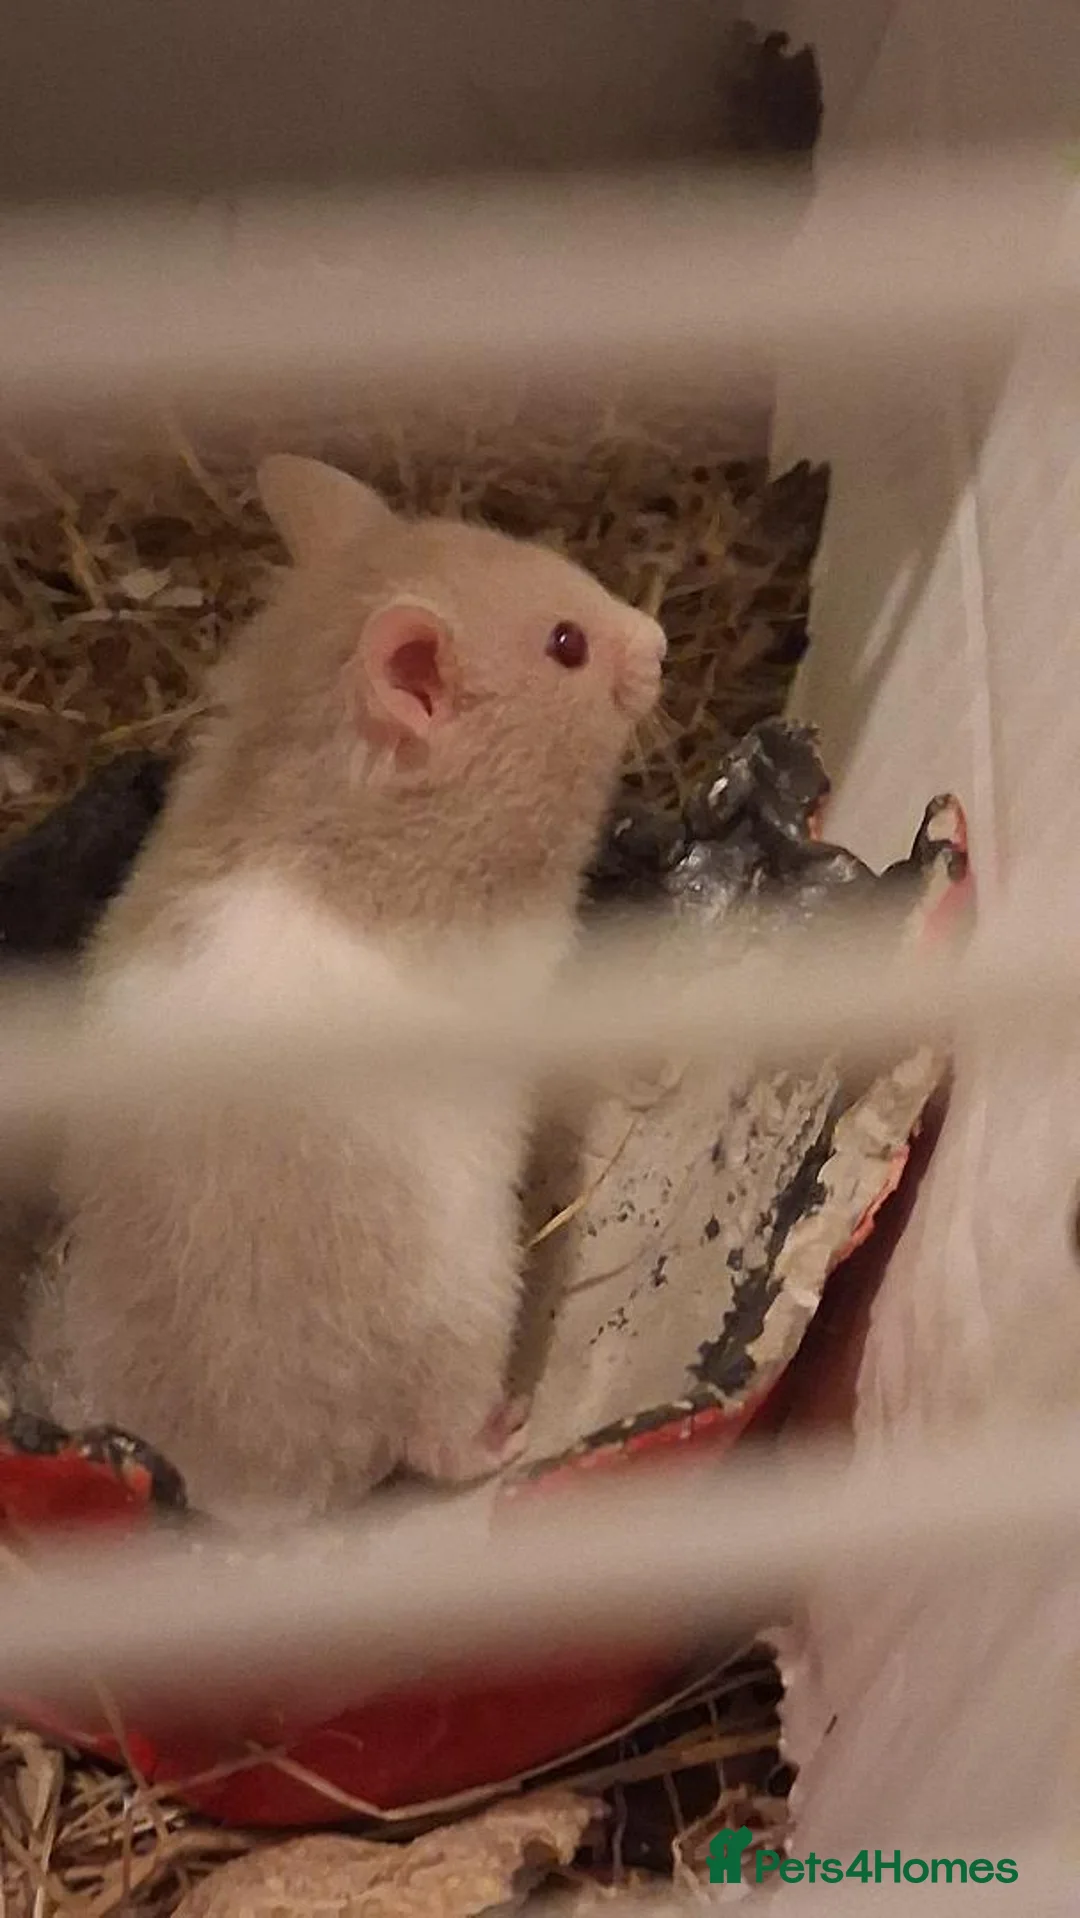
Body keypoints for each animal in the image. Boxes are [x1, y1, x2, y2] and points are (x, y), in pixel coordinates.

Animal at [39, 455, 665, 1523]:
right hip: (465, 1296)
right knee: (436, 1442)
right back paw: (511, 1432)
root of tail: (253, 1494)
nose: (659, 640)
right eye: (567, 646)